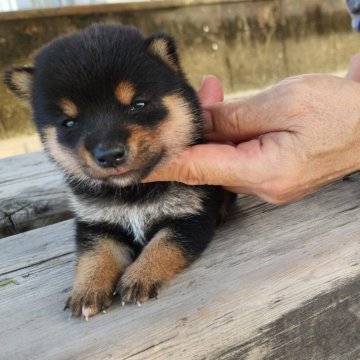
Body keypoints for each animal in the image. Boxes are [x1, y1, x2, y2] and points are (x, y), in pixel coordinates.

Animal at [4, 23, 235, 320]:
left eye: (138, 104)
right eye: (69, 122)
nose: (109, 154)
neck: (132, 192)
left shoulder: (190, 215)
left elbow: (164, 244)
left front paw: (140, 275)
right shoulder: (96, 222)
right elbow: (94, 256)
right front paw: (87, 289)